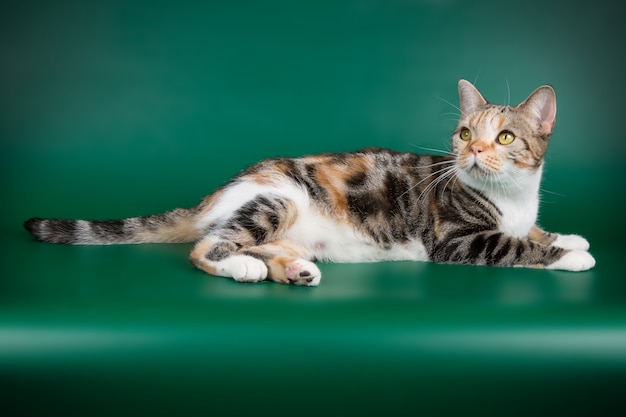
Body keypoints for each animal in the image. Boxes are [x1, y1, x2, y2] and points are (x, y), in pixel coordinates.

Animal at [24, 79, 596, 284]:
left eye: (504, 137)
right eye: (464, 133)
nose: (474, 151)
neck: (513, 199)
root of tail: (221, 190)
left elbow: (532, 231)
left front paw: (568, 236)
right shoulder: (457, 240)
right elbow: (513, 245)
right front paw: (568, 256)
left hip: (284, 224)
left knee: (265, 247)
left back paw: (293, 270)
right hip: (276, 202)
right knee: (208, 246)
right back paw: (240, 268)